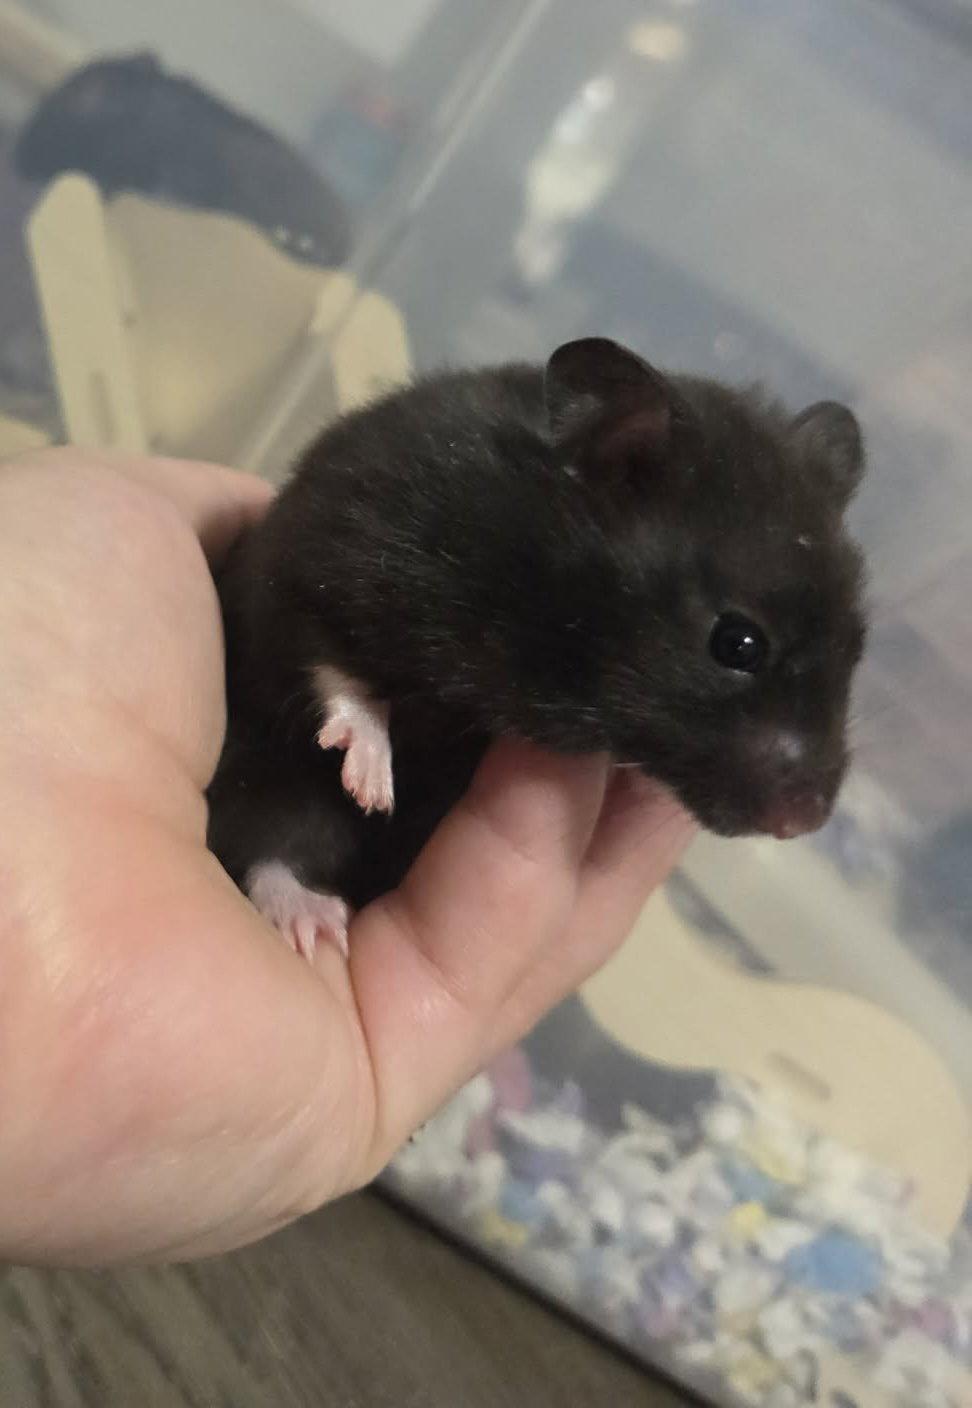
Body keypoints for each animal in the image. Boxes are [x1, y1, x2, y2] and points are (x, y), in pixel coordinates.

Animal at [206, 337, 867, 958]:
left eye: (858, 645)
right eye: (738, 644)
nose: (804, 820)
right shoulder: (323, 560)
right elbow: (331, 666)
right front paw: (372, 788)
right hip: (263, 775)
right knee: (266, 846)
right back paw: (316, 921)